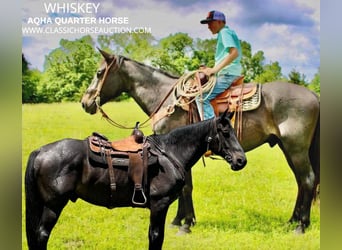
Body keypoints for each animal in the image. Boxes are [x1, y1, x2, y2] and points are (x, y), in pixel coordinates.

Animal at [25, 112, 247, 250]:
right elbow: (156, 237)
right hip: (53, 205)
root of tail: (40, 151)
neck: (170, 153)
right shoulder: (159, 205)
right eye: (225, 133)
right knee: (42, 235)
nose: (241, 160)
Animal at [81, 49, 320, 233]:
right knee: (301, 181)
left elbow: (186, 187)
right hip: (288, 148)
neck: (168, 100)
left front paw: (185, 224)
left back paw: (301, 226)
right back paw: (292, 221)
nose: (85, 102)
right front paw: (179, 221)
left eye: (99, 72)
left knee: (307, 179)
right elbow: (184, 186)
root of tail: (313, 95)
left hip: (296, 148)